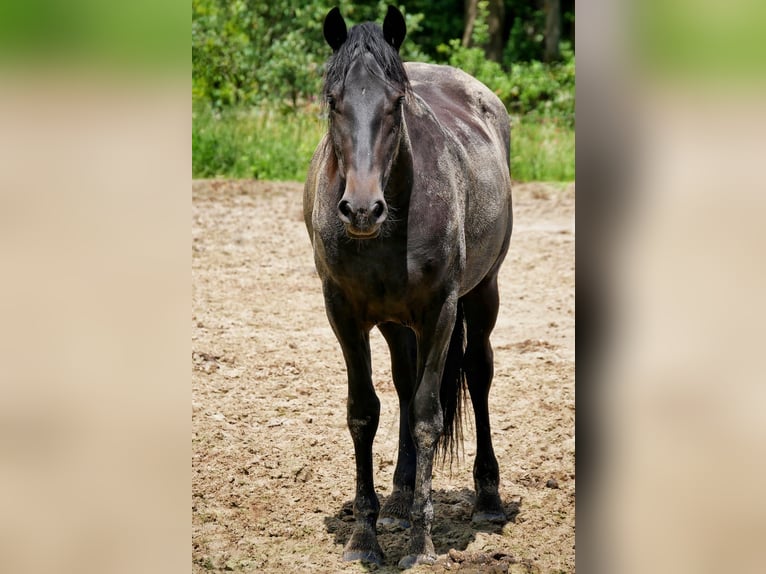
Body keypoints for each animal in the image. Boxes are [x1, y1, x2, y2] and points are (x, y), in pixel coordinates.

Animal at [304, 5, 512, 572]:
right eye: (333, 100)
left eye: (396, 102)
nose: (361, 209)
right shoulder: (343, 314)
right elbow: (364, 413)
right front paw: (365, 536)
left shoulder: (440, 312)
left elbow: (426, 416)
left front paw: (421, 545)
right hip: (396, 323)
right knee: (402, 381)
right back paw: (398, 500)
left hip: (482, 294)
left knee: (478, 373)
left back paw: (487, 498)